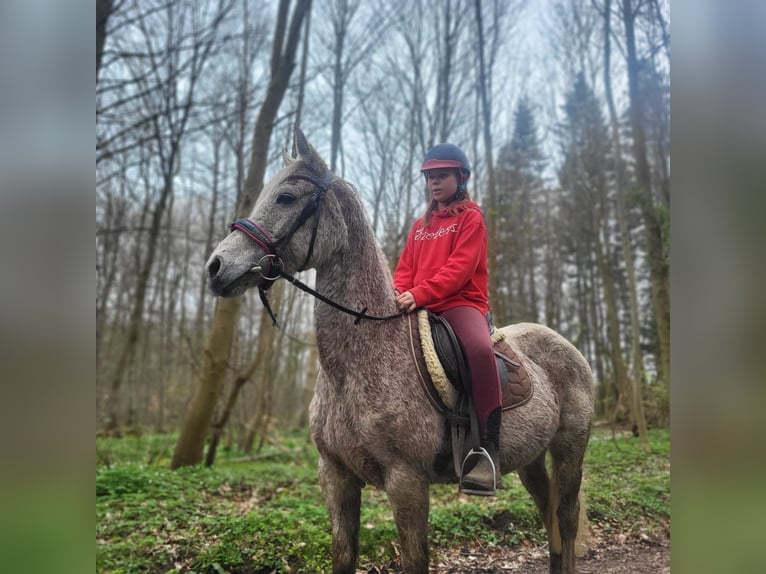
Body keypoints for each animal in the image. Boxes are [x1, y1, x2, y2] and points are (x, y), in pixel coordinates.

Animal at [207, 130, 596, 574]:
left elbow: (414, 559)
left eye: (286, 197)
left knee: (565, 518)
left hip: (569, 447)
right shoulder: (335, 476)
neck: (355, 364)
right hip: (530, 458)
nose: (216, 267)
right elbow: (343, 555)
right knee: (548, 513)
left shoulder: (406, 480)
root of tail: (566, 348)